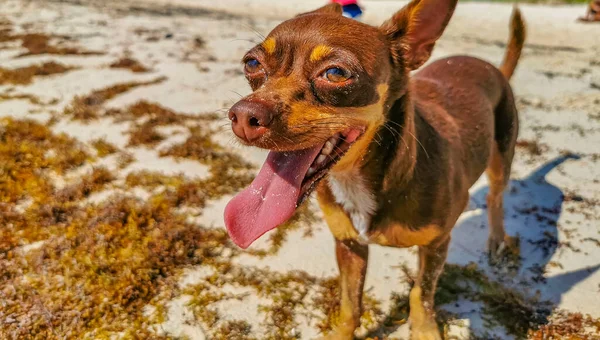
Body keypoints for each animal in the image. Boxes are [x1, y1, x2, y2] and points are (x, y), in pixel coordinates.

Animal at [224, 1, 524, 338]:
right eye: (251, 63)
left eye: (335, 73)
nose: (244, 116)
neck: (360, 181)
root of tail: (495, 69)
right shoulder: (350, 245)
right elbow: (350, 304)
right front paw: (342, 333)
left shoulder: (436, 245)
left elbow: (421, 295)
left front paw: (425, 331)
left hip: (501, 158)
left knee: (495, 198)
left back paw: (497, 239)